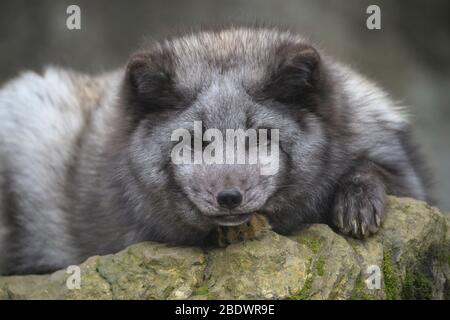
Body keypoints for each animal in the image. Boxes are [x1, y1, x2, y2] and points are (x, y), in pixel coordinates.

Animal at [0, 26, 428, 276]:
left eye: (258, 136)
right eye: (194, 140)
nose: (228, 197)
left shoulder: (398, 161)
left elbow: (378, 170)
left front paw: (356, 202)